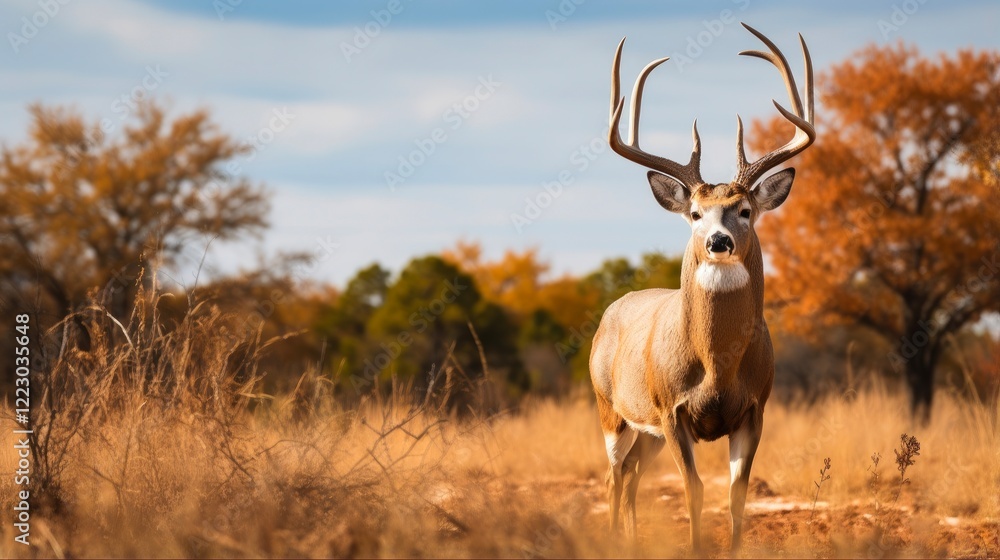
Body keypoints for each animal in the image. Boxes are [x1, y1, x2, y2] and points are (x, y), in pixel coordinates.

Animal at [590, 23, 815, 553]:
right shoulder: (671, 412)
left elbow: (737, 496)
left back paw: (632, 542)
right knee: (612, 476)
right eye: (695, 213)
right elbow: (693, 490)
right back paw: (613, 540)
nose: (718, 241)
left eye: (745, 210)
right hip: (611, 409)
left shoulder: (754, 411)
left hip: (645, 433)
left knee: (631, 476)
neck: (716, 366)